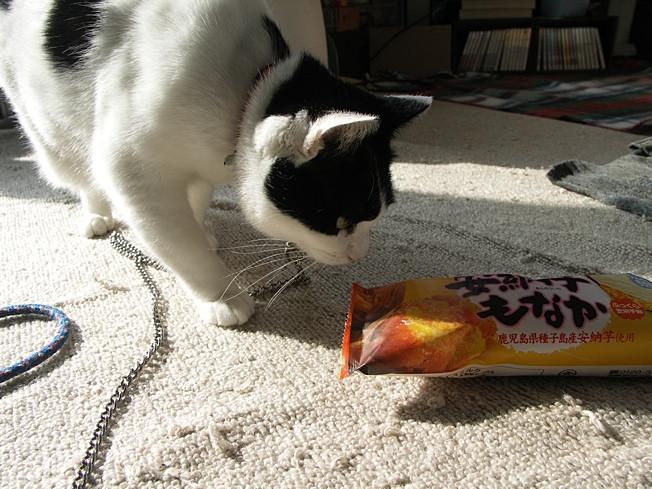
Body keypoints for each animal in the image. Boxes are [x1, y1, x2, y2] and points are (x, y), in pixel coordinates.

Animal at [0, 0, 431, 326]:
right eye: (340, 220)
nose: (358, 255)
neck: (245, 86)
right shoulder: (134, 170)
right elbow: (177, 242)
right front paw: (221, 295)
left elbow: (193, 203)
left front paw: (200, 228)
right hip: (48, 124)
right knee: (78, 168)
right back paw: (96, 214)